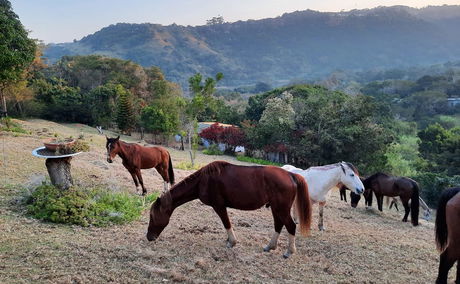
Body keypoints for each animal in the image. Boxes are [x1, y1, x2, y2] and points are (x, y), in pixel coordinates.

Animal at [147, 161, 312, 258]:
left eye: (152, 216)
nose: (149, 237)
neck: (203, 180)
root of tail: (290, 174)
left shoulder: (219, 206)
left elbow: (226, 223)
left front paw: (231, 242)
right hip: (276, 208)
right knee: (278, 225)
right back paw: (270, 246)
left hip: (281, 209)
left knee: (290, 226)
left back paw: (289, 252)